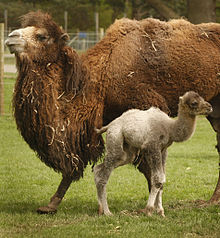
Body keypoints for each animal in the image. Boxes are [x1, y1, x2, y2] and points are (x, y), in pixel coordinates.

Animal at [4, 10, 220, 214]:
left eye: (41, 36)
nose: (10, 38)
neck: (101, 79)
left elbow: (148, 168)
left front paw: (152, 207)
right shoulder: (104, 124)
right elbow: (77, 166)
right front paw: (51, 205)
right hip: (214, 109)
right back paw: (212, 201)